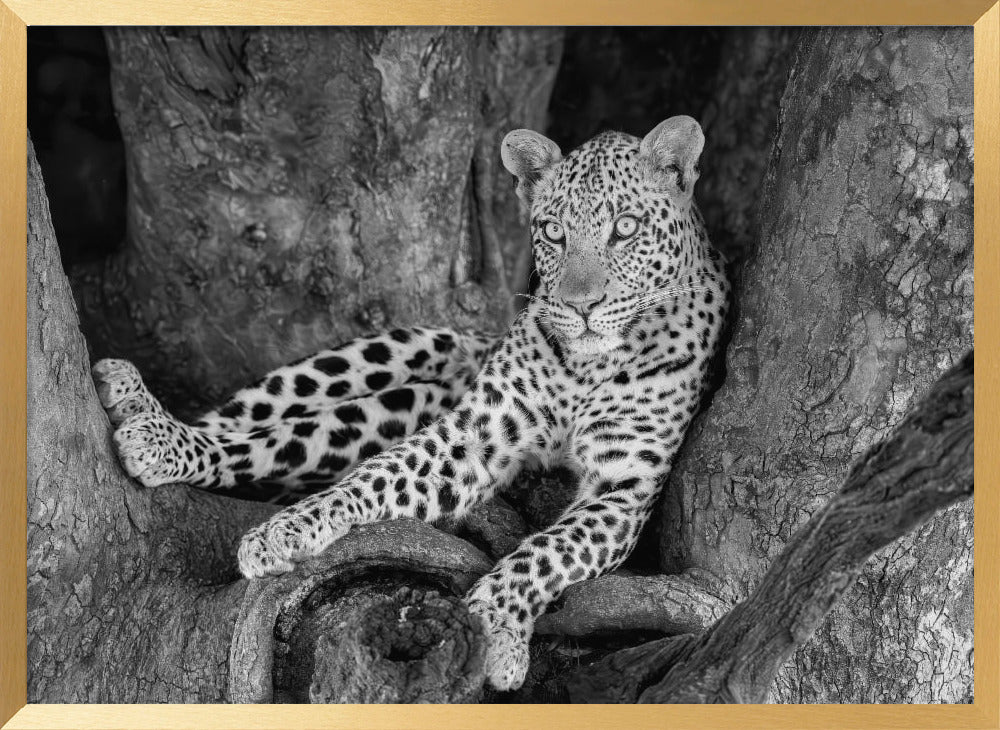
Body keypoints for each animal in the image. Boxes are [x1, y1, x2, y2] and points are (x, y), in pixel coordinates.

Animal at [93, 115, 729, 692]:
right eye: (552, 231)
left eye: (626, 228)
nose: (579, 306)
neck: (588, 365)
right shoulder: (471, 434)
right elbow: (374, 477)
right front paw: (287, 530)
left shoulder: (626, 484)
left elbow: (548, 550)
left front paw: (492, 628)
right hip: (382, 358)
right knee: (243, 429)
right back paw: (145, 417)